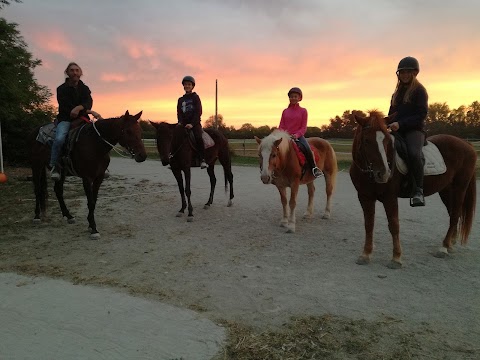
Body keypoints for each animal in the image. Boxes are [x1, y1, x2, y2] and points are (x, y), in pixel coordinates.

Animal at [30, 110, 146, 239]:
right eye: (128, 131)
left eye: (140, 131)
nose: (142, 156)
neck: (94, 145)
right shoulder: (87, 178)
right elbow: (90, 202)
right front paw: (94, 229)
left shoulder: (99, 178)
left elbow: (94, 201)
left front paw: (90, 224)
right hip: (36, 166)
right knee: (38, 190)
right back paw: (37, 216)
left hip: (61, 173)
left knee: (58, 191)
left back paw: (68, 216)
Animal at [348, 111, 476, 268]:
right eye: (366, 140)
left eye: (386, 140)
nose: (384, 174)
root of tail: (466, 144)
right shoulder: (365, 197)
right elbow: (368, 224)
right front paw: (366, 254)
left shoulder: (390, 198)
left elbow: (394, 225)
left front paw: (396, 258)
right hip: (446, 191)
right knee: (453, 214)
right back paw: (451, 243)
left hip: (460, 188)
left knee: (455, 214)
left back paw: (444, 247)